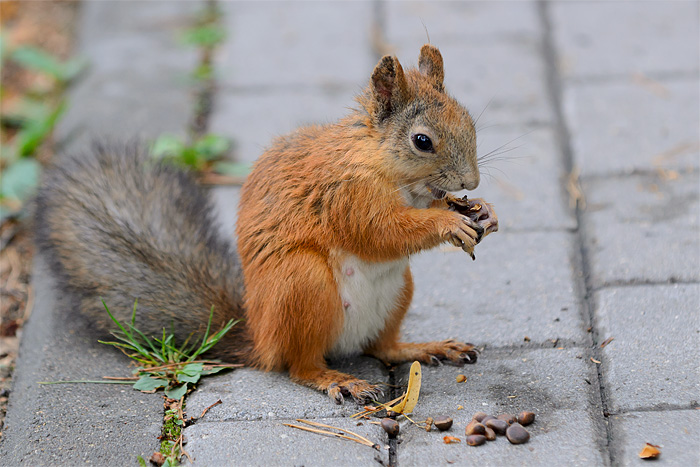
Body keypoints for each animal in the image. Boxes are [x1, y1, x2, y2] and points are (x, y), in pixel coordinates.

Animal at [35, 44, 498, 404]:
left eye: (468, 120)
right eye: (422, 141)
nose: (471, 181)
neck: (386, 168)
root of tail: (260, 339)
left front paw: (483, 212)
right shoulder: (344, 196)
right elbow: (379, 233)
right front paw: (447, 222)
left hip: (399, 290)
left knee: (382, 347)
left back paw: (421, 347)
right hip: (303, 285)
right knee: (300, 366)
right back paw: (337, 380)